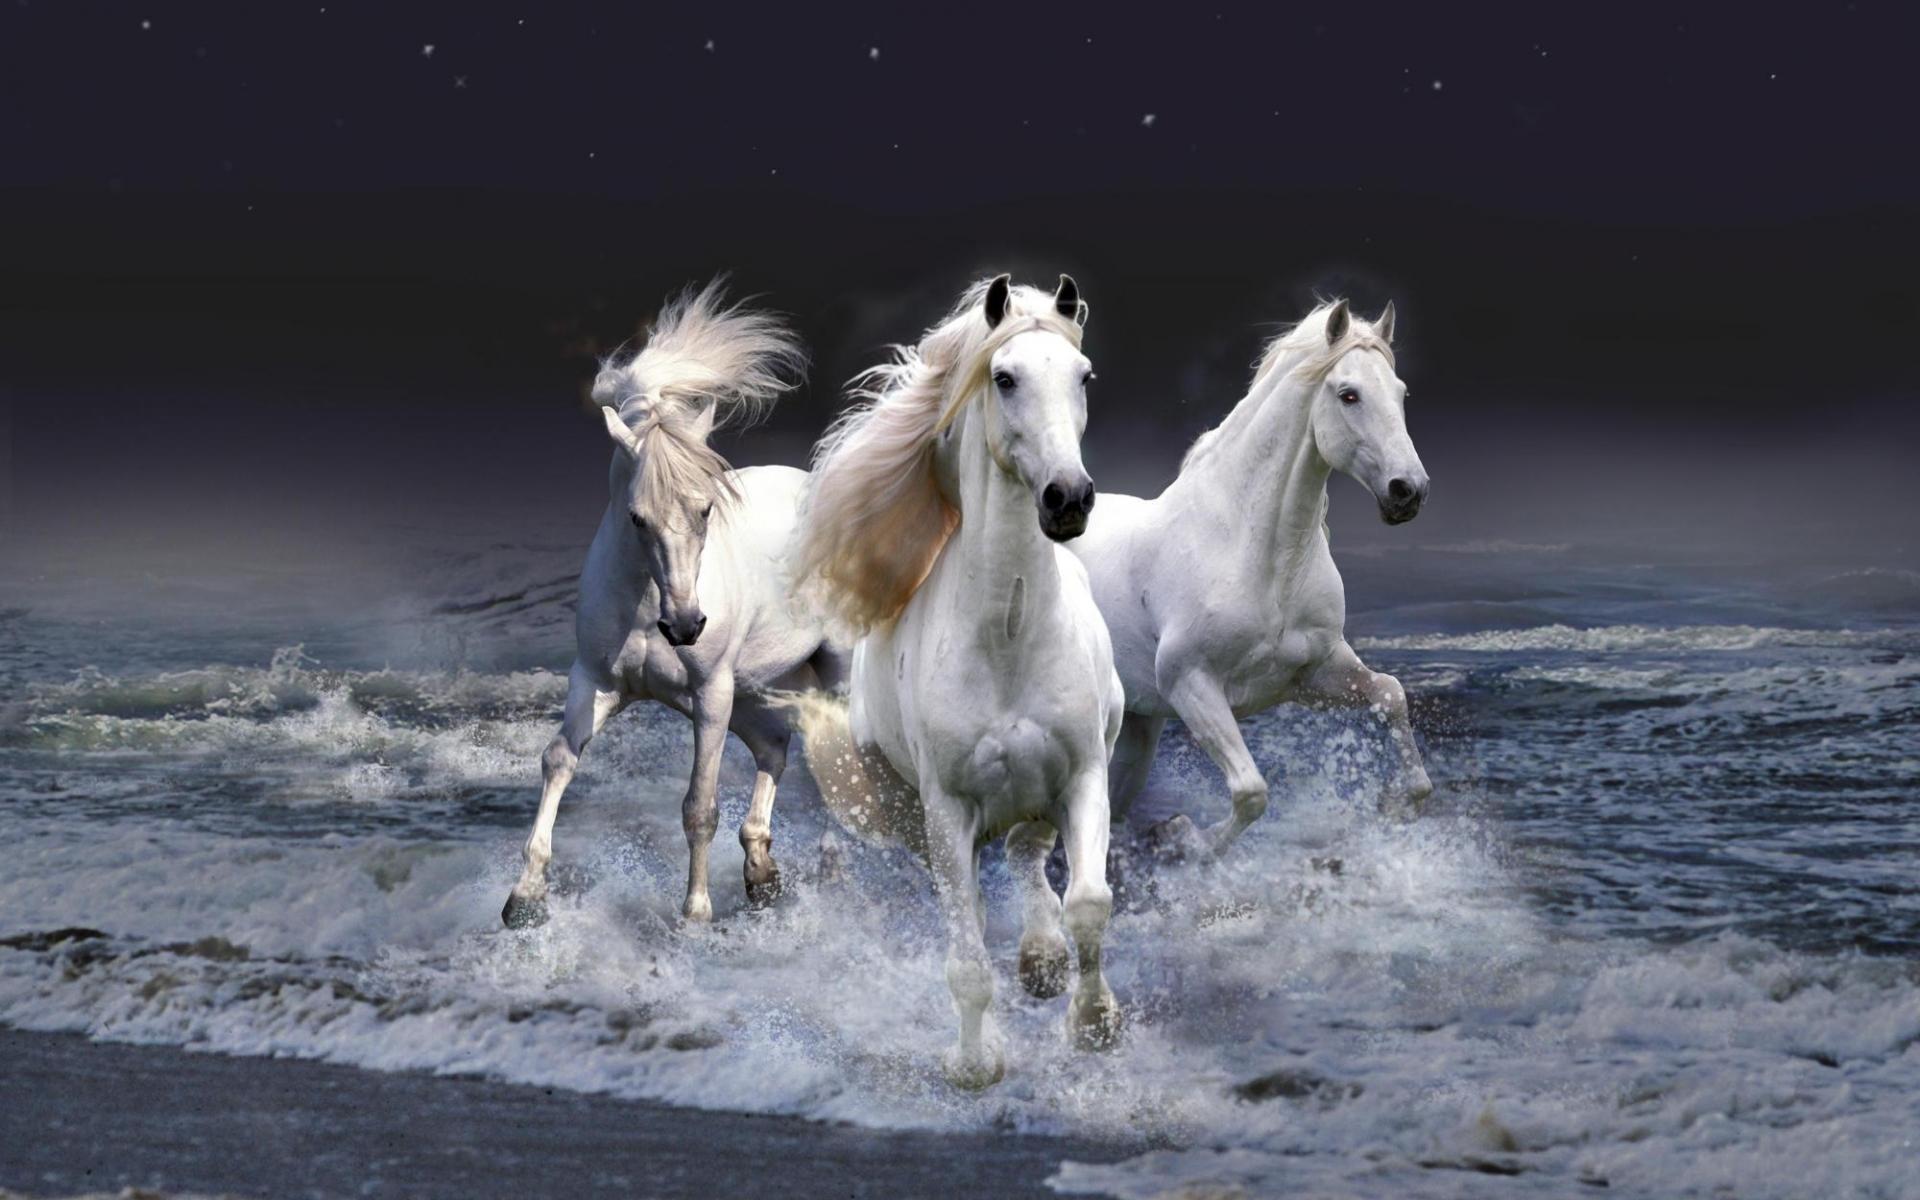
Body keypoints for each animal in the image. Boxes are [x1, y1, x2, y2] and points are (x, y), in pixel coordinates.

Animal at [501, 280, 850, 928]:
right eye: (637, 517)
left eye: (706, 508)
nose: (686, 626)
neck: (645, 606)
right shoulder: (596, 682)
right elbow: (558, 760)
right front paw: (524, 899)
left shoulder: (709, 694)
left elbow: (699, 805)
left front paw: (695, 916)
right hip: (755, 688)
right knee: (776, 746)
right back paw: (762, 874)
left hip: (825, 672)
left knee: (839, 759)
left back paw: (830, 869)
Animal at [788, 274, 1124, 1089]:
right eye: (1004, 378)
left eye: (1084, 376)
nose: (1068, 498)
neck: (1008, 635)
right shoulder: (946, 811)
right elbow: (967, 957)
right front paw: (976, 1064)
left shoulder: (1083, 774)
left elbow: (1089, 902)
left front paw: (1094, 1024)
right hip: (915, 814)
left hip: (1040, 793)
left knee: (1030, 855)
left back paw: (1042, 961)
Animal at [1068, 299, 1432, 858]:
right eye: (1348, 394)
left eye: (1400, 392)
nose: (1408, 491)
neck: (1257, 556)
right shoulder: (1191, 684)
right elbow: (1251, 792)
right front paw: (1183, 838)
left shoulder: (1313, 675)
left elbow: (1391, 695)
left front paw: (1395, 804)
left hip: (1137, 728)